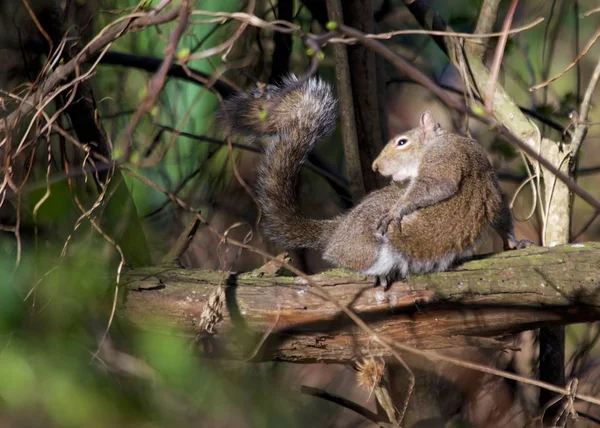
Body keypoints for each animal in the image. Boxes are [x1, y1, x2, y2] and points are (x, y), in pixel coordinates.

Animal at [221, 74, 528, 288]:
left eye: (402, 142)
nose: (375, 166)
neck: (444, 141)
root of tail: (339, 229)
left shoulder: (449, 160)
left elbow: (445, 187)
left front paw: (514, 242)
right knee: (342, 257)